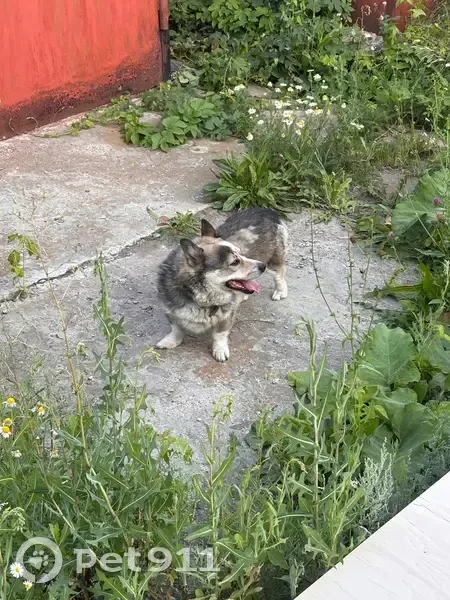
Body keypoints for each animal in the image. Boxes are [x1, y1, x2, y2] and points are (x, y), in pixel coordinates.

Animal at [156, 208, 288, 362]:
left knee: (280, 273)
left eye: (242, 254)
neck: (199, 296)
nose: (262, 266)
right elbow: (176, 329)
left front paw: (219, 350)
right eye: (235, 262)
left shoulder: (227, 316)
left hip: (273, 261)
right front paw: (171, 341)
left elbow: (219, 334)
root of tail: (265, 210)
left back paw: (280, 291)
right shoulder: (171, 311)